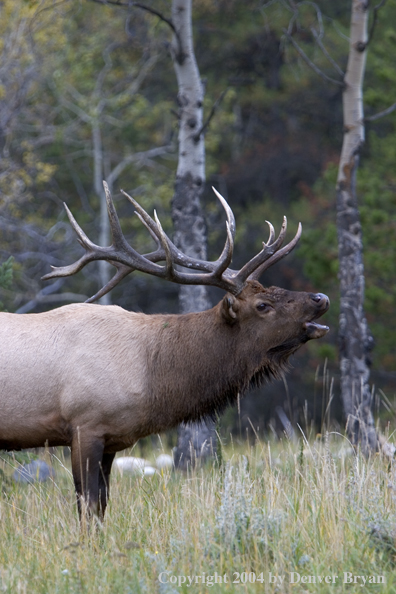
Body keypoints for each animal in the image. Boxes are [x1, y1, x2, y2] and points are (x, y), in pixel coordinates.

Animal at [0, 184, 330, 520]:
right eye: (263, 305)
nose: (321, 297)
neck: (152, 379)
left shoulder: (110, 439)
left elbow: (101, 505)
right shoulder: (84, 424)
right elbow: (88, 506)